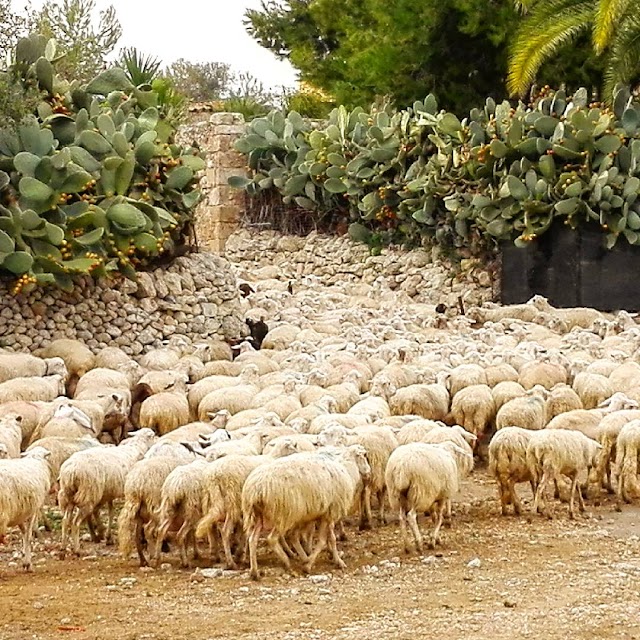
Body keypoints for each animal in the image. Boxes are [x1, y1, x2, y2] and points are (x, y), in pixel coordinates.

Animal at [241, 444, 370, 580]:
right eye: (364, 455)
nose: (369, 472)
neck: (348, 469)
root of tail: (256, 489)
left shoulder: (325, 514)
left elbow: (331, 539)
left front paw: (334, 559)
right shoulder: (330, 512)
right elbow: (323, 541)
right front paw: (309, 565)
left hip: (257, 515)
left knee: (253, 539)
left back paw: (254, 572)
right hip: (284, 514)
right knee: (272, 539)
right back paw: (286, 561)